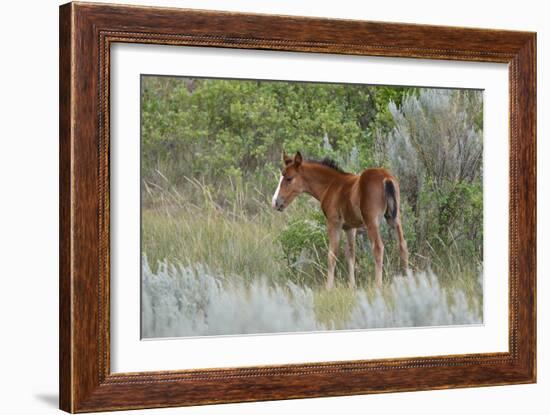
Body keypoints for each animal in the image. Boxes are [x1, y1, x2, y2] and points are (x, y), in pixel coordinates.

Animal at [272, 151, 410, 290]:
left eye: (289, 178)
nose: (275, 202)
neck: (331, 185)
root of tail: (386, 178)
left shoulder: (334, 223)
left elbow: (332, 254)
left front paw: (328, 287)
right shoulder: (350, 228)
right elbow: (351, 254)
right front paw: (352, 286)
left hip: (372, 222)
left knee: (378, 248)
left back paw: (378, 285)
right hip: (395, 218)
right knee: (402, 245)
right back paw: (407, 279)